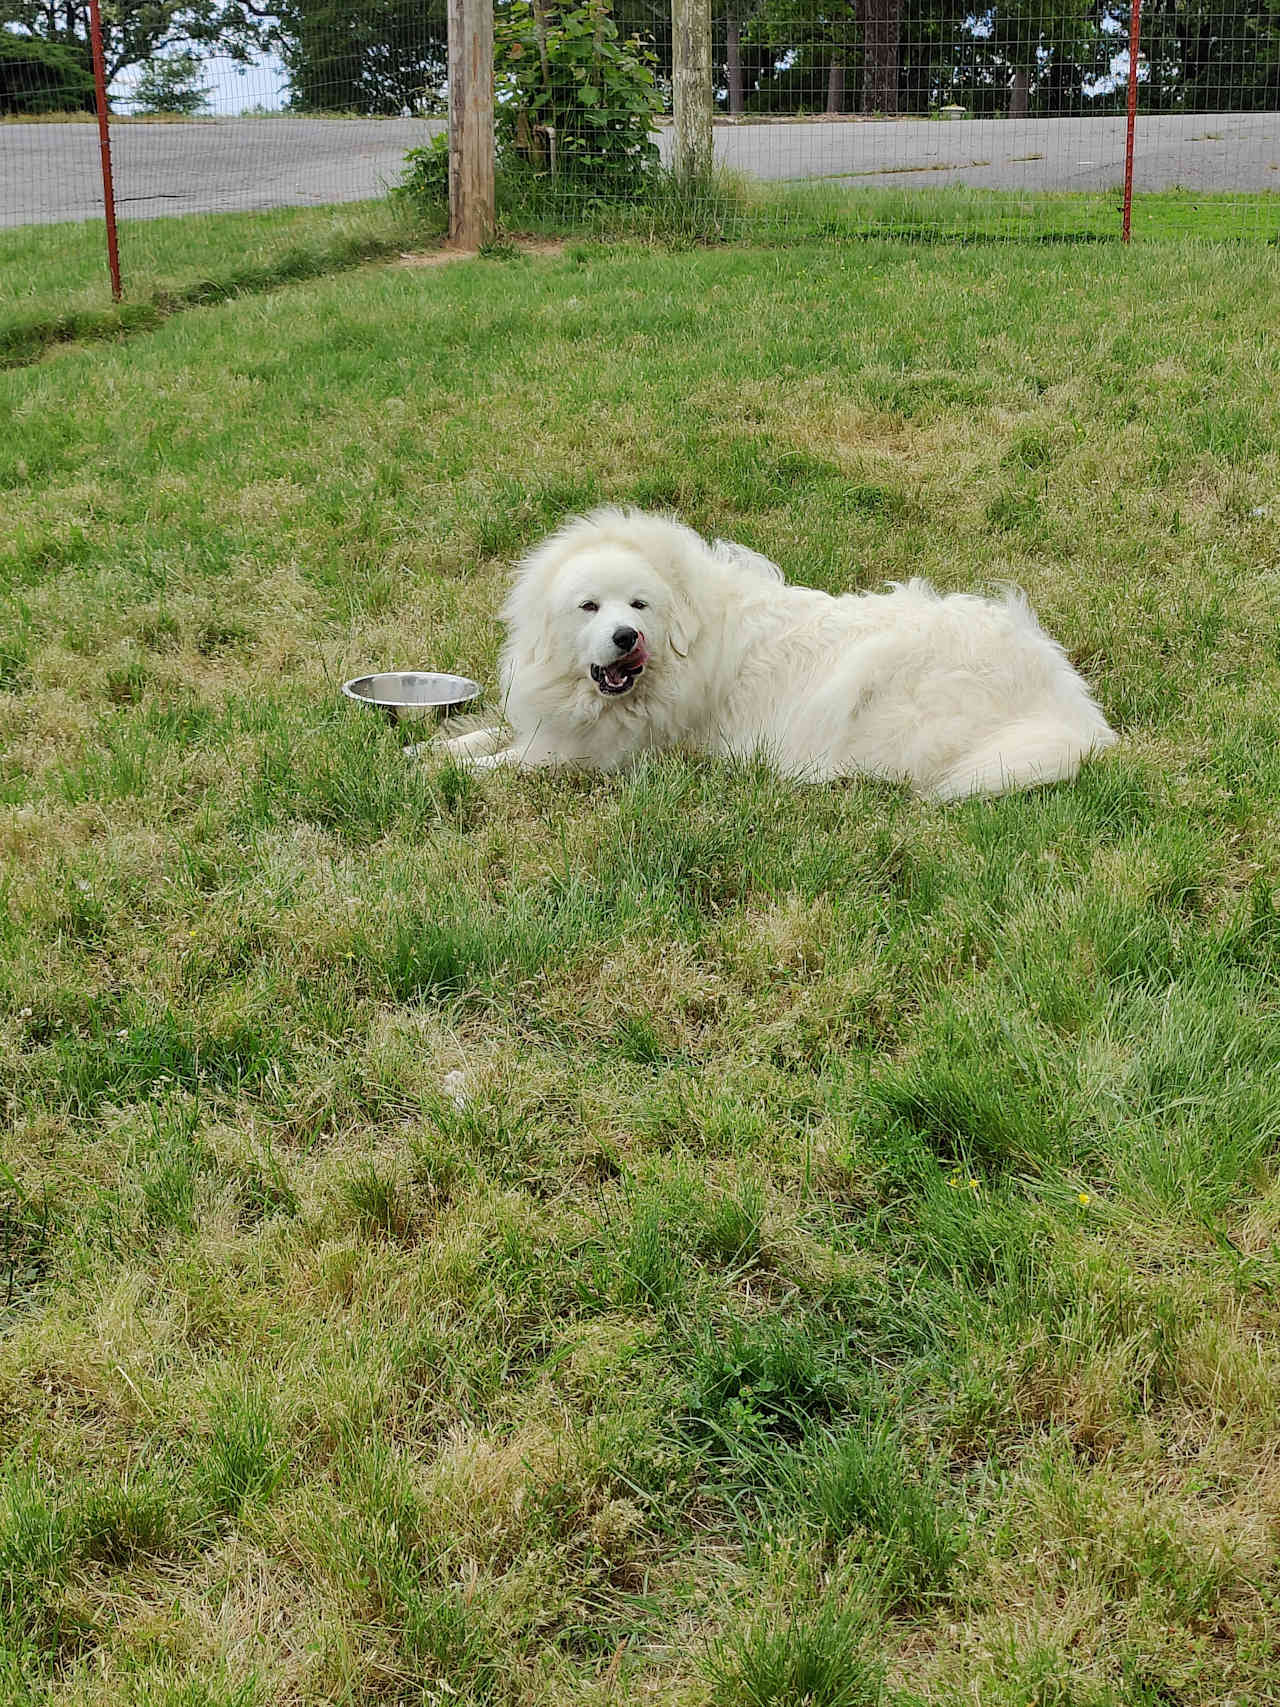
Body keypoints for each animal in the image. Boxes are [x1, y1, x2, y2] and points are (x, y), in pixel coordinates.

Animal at [443, 505, 1119, 798]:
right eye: (589, 607)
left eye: (638, 605)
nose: (626, 638)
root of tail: (1066, 699)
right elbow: (486, 736)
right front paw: (437, 747)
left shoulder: (595, 757)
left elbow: (503, 763)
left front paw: (441, 771)